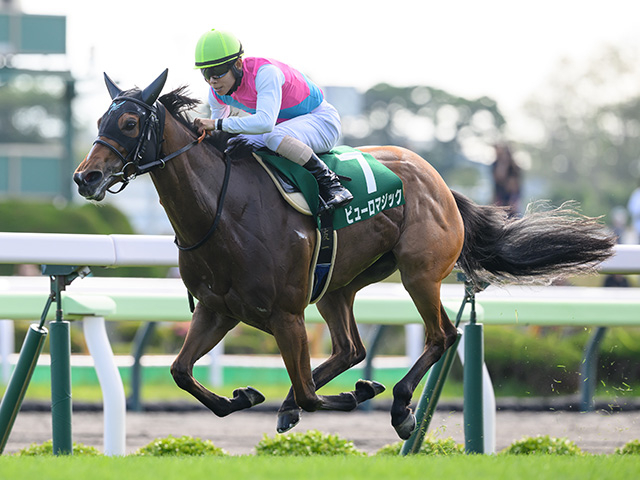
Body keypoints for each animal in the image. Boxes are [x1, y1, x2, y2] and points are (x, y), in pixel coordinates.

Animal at [73, 70, 616, 440]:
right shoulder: (217, 309)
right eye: (99, 118)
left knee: (442, 335)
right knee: (351, 348)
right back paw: (304, 399)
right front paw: (246, 394)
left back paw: (399, 405)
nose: (85, 177)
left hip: (419, 273)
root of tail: (438, 180)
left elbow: (313, 397)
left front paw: (358, 393)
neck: (224, 210)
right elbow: (181, 373)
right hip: (340, 283)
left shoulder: (287, 314)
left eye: (128, 121)